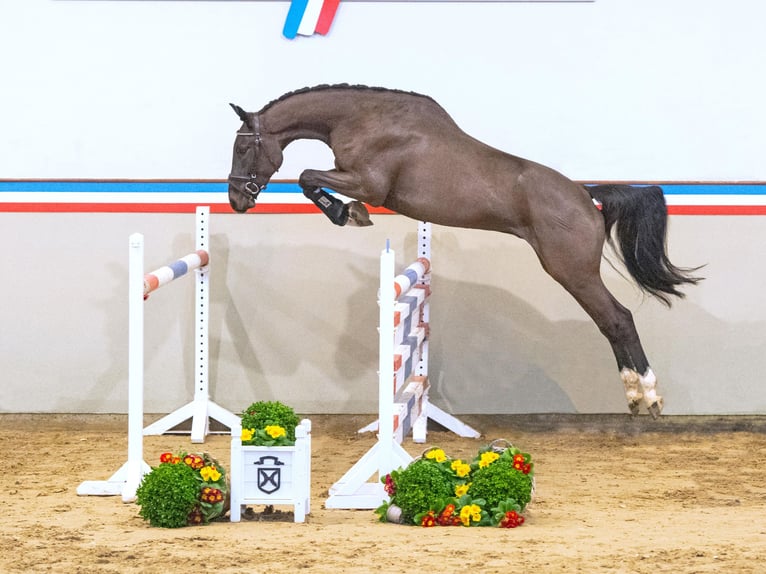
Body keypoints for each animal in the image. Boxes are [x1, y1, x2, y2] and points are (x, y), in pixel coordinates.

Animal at [226, 84, 704, 418]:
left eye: (243, 146)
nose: (236, 200)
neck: (367, 121)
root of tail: (585, 196)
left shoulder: (368, 183)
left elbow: (307, 176)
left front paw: (348, 213)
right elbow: (309, 177)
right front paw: (350, 213)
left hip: (571, 271)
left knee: (617, 319)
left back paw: (648, 396)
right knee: (613, 322)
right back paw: (636, 395)